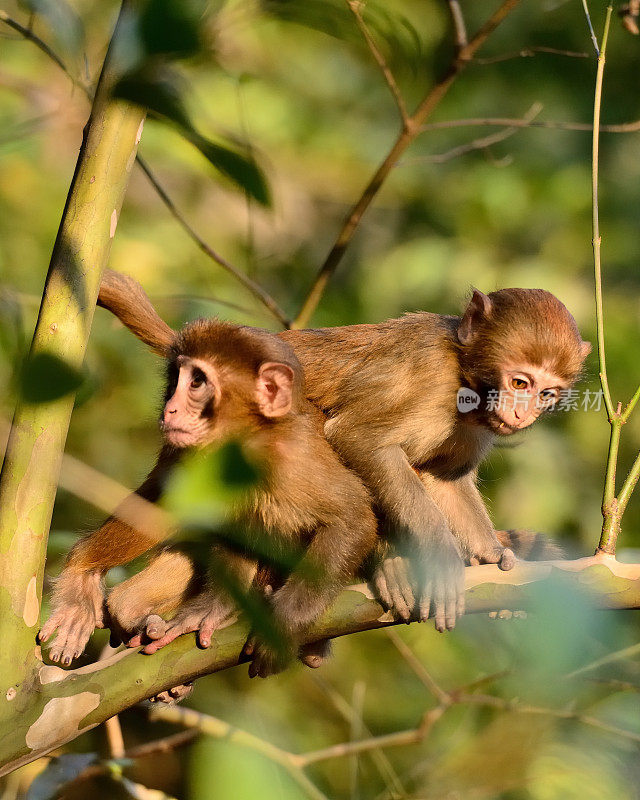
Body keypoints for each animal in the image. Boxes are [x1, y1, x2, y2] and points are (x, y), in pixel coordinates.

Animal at [38, 296, 380, 680]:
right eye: (175, 379)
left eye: (198, 382)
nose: (169, 409)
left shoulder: (295, 460)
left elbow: (352, 519)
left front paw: (283, 626)